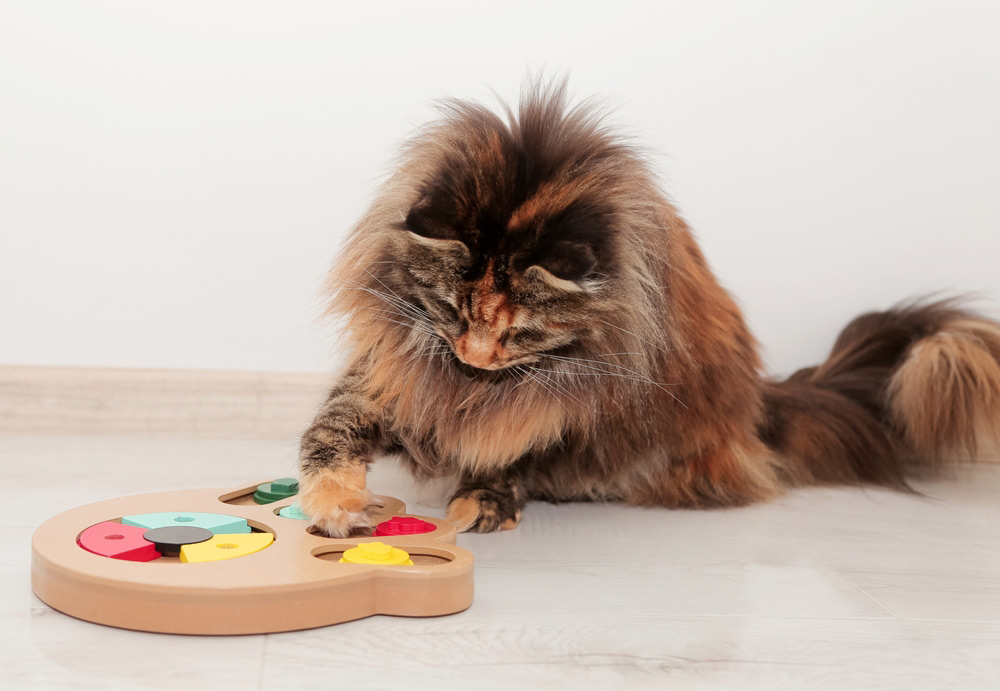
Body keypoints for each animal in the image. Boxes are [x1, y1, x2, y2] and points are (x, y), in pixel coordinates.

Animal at [294, 79, 1000, 536]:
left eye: (521, 331)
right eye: (452, 309)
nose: (476, 358)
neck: (473, 387)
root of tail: (761, 406)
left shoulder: (559, 405)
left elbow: (514, 450)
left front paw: (485, 501)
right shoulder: (395, 370)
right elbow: (330, 433)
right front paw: (332, 507)